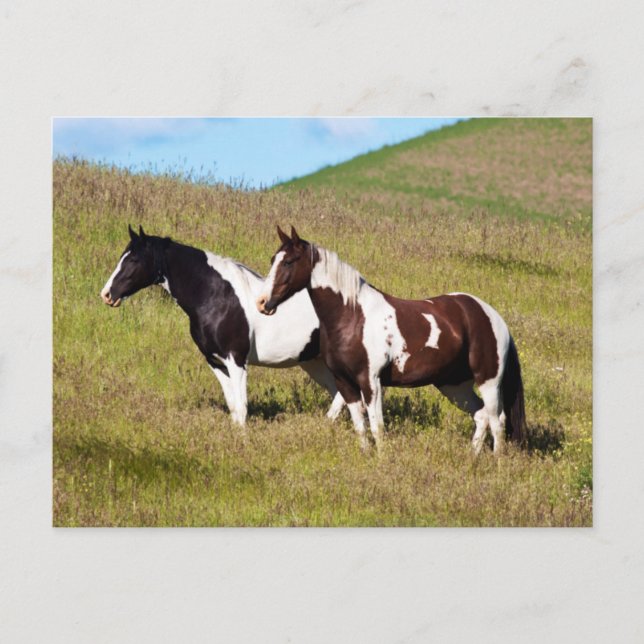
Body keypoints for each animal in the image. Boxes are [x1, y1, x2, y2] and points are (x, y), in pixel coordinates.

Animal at [100, 225, 345, 425]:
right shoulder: (215, 361)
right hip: (313, 362)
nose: (107, 294)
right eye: (123, 256)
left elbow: (242, 408)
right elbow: (233, 408)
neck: (216, 297)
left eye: (133, 260)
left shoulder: (236, 359)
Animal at [256, 226, 526, 454]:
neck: (352, 316)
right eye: (273, 260)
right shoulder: (344, 382)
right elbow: (360, 426)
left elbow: (377, 427)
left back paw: (497, 462)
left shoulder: (371, 382)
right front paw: (367, 456)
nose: (262, 303)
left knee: (497, 420)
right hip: (453, 384)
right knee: (481, 416)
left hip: (488, 381)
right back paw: (472, 458)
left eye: (289, 261)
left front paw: (382, 460)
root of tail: (492, 316)